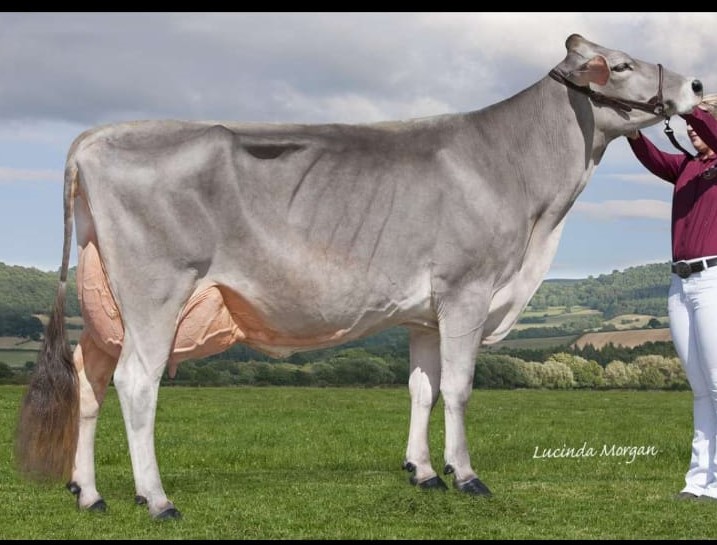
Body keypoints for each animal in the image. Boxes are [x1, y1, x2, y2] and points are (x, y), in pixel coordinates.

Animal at [14, 34, 703, 520]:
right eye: (620, 65)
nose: (697, 82)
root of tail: (96, 136)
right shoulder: (467, 288)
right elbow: (458, 389)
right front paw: (466, 475)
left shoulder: (426, 311)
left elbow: (422, 389)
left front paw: (423, 472)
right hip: (154, 290)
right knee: (136, 382)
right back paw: (155, 499)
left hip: (105, 302)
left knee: (88, 379)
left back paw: (89, 494)